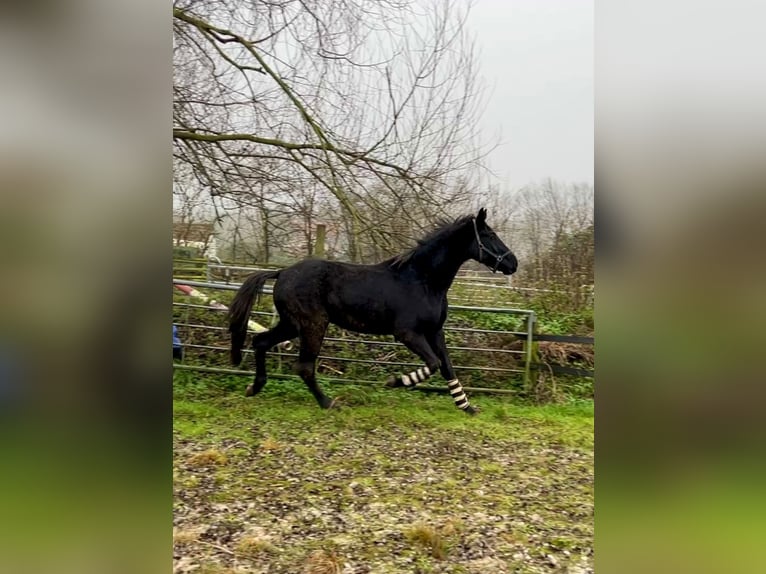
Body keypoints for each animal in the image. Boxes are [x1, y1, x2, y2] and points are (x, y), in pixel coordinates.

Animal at [226, 209, 516, 416]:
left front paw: (467, 407)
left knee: (260, 342)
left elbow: (447, 366)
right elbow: (433, 364)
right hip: (312, 325)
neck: (423, 280)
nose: (513, 263)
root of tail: (282, 272)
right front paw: (395, 381)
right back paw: (328, 403)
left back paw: (254, 387)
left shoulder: (435, 332)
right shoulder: (407, 333)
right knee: (304, 367)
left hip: (291, 324)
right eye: (489, 235)